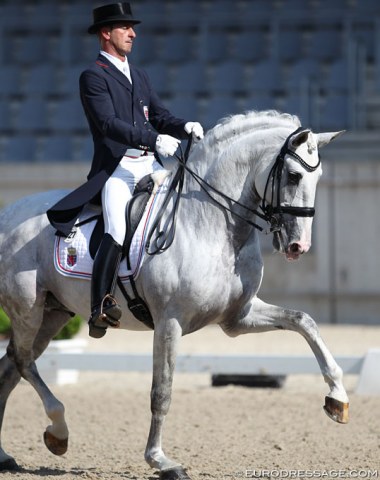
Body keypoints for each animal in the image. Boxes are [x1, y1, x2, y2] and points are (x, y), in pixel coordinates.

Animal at [0, 110, 348, 478]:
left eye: (318, 177)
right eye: (294, 176)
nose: (299, 246)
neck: (211, 224)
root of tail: (8, 214)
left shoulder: (237, 317)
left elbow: (304, 320)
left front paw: (337, 398)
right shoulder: (170, 322)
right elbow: (162, 390)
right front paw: (160, 459)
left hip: (52, 314)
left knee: (10, 368)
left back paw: (6, 455)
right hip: (27, 309)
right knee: (22, 361)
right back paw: (59, 431)